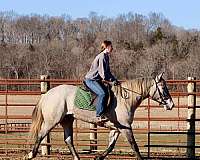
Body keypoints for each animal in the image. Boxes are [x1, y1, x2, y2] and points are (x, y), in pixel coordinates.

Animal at [26, 73, 173, 160]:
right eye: (163, 87)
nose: (171, 104)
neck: (125, 99)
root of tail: (47, 94)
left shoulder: (116, 128)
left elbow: (111, 146)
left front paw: (99, 157)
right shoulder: (125, 128)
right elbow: (134, 145)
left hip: (67, 120)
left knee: (68, 140)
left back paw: (77, 158)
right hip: (51, 121)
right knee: (41, 135)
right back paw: (30, 154)